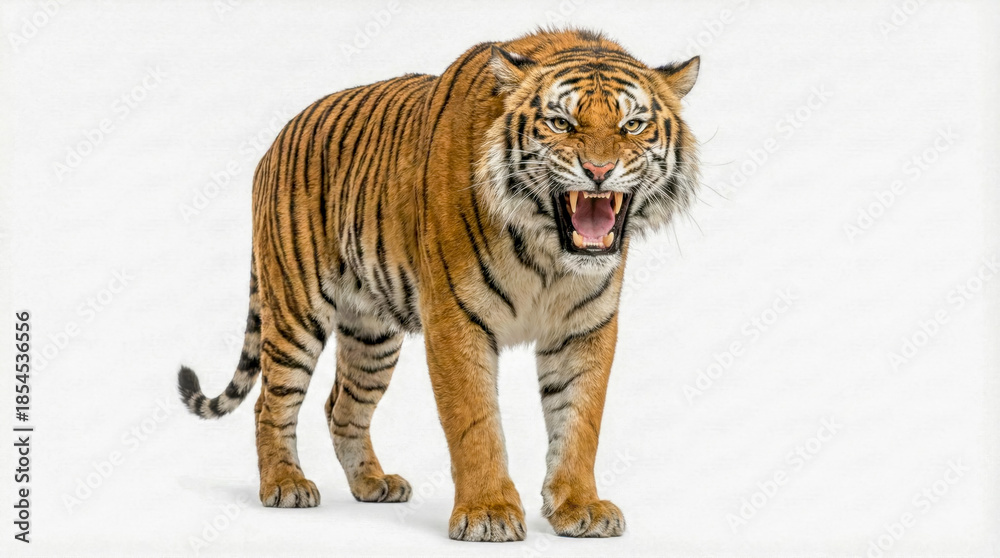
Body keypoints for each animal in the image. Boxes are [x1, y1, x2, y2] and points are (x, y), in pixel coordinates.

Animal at [177, 28, 700, 542]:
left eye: (632, 125)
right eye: (560, 123)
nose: (598, 171)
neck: (548, 250)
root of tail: (276, 140)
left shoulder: (585, 328)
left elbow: (579, 421)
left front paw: (580, 507)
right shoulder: (456, 318)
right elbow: (475, 422)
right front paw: (488, 512)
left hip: (372, 334)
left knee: (341, 405)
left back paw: (373, 483)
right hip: (294, 311)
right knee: (270, 402)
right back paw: (284, 484)